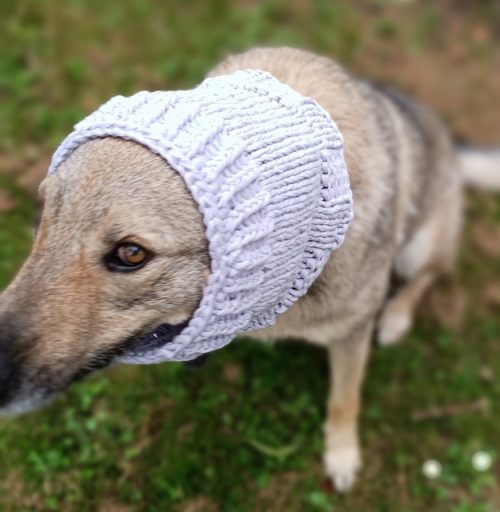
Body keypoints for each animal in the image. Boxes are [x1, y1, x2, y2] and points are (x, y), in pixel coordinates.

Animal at [1, 47, 499, 492]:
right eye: (42, 217)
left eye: (131, 254)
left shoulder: (350, 336)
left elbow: (344, 400)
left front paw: (341, 454)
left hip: (420, 243)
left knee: (428, 275)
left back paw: (396, 317)